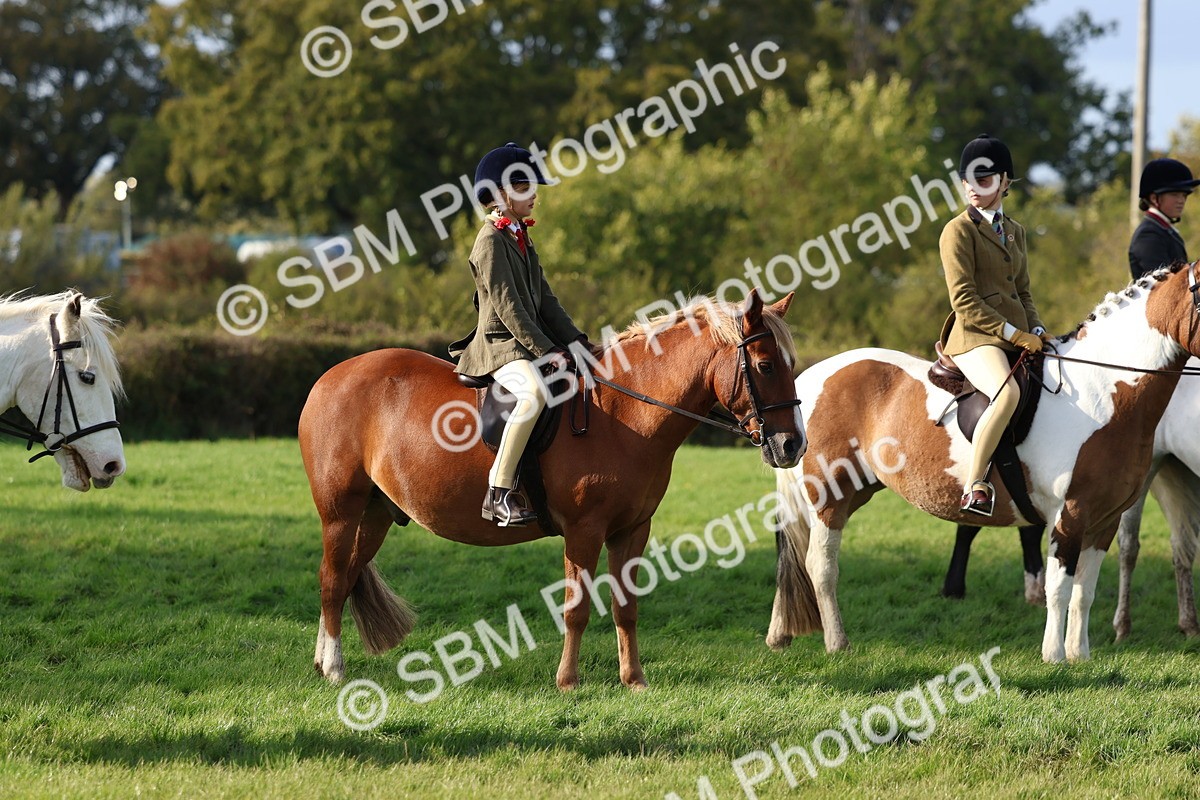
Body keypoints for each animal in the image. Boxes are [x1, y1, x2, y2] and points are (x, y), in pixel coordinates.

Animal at [299, 290, 805, 688]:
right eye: (764, 365)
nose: (792, 445)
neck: (623, 411)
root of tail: (328, 378)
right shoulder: (584, 530)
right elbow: (576, 607)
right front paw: (568, 681)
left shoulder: (633, 530)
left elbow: (626, 607)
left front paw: (634, 680)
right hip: (340, 513)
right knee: (331, 580)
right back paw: (334, 669)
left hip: (375, 514)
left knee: (343, 577)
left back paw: (323, 662)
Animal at [765, 261, 1200, 663]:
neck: (1103, 393)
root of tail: (807, 379)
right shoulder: (1069, 515)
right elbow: (1058, 589)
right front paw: (1054, 657)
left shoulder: (1103, 521)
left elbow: (1084, 592)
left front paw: (1080, 656)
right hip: (829, 499)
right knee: (820, 567)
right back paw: (837, 644)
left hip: (854, 493)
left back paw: (779, 635)